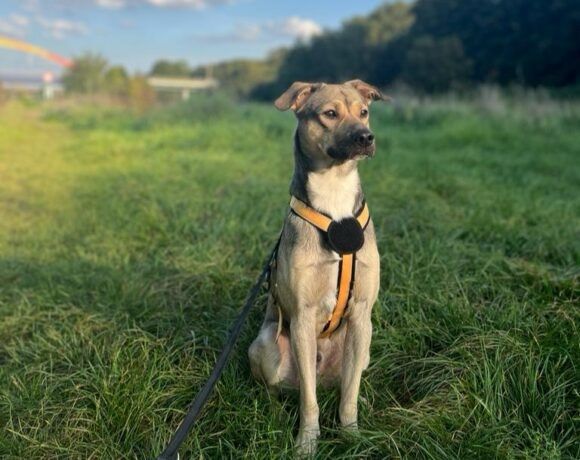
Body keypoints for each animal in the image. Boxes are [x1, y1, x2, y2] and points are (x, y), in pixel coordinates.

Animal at [248, 78, 386, 452]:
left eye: (364, 112)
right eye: (330, 114)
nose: (366, 138)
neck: (334, 191)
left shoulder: (362, 314)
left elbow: (348, 395)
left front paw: (352, 435)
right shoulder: (303, 317)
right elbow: (309, 402)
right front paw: (306, 443)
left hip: (364, 345)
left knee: (345, 383)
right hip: (265, 346)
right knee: (282, 389)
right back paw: (274, 413)